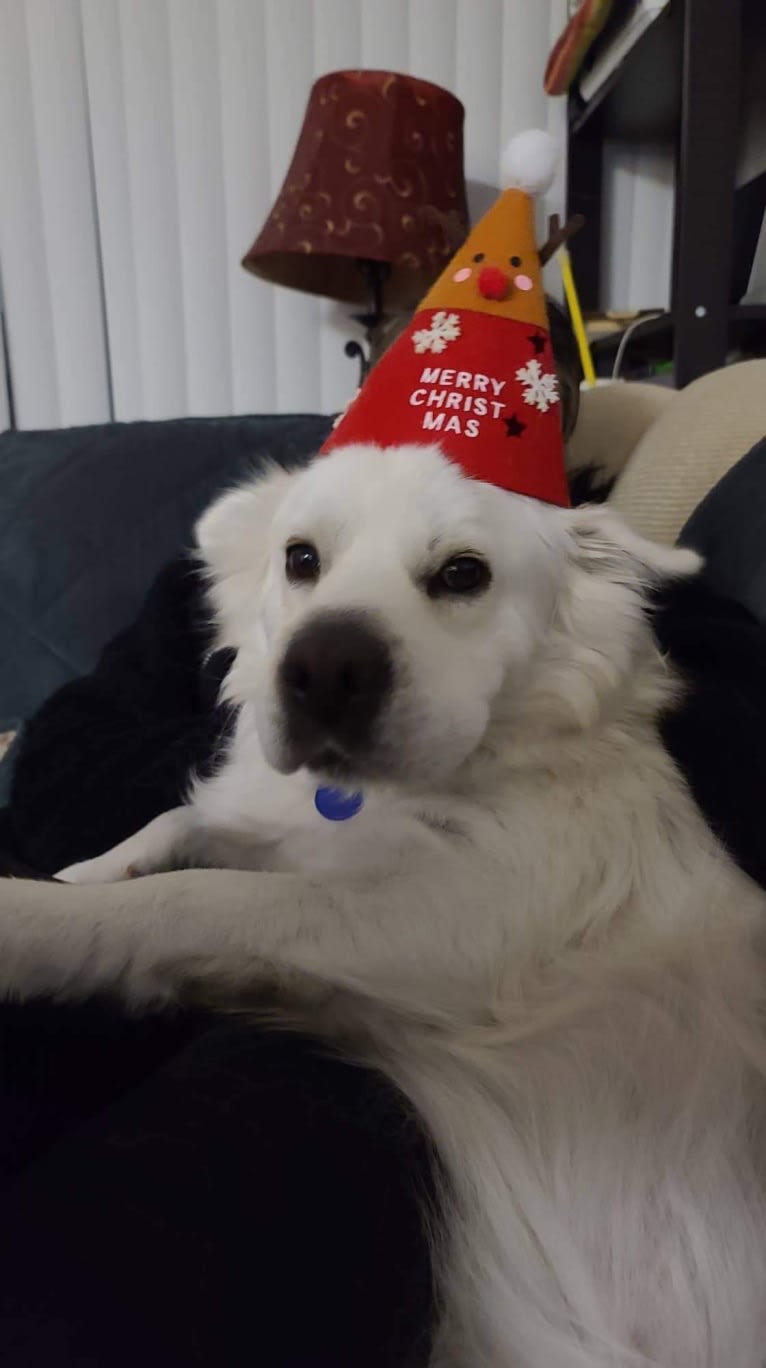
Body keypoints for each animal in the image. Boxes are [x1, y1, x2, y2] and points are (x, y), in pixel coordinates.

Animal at [4, 440, 766, 1368]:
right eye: (300, 558)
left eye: (463, 573)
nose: (322, 670)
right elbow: (185, 821)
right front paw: (88, 871)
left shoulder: (448, 923)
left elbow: (203, 899)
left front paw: (33, 921)